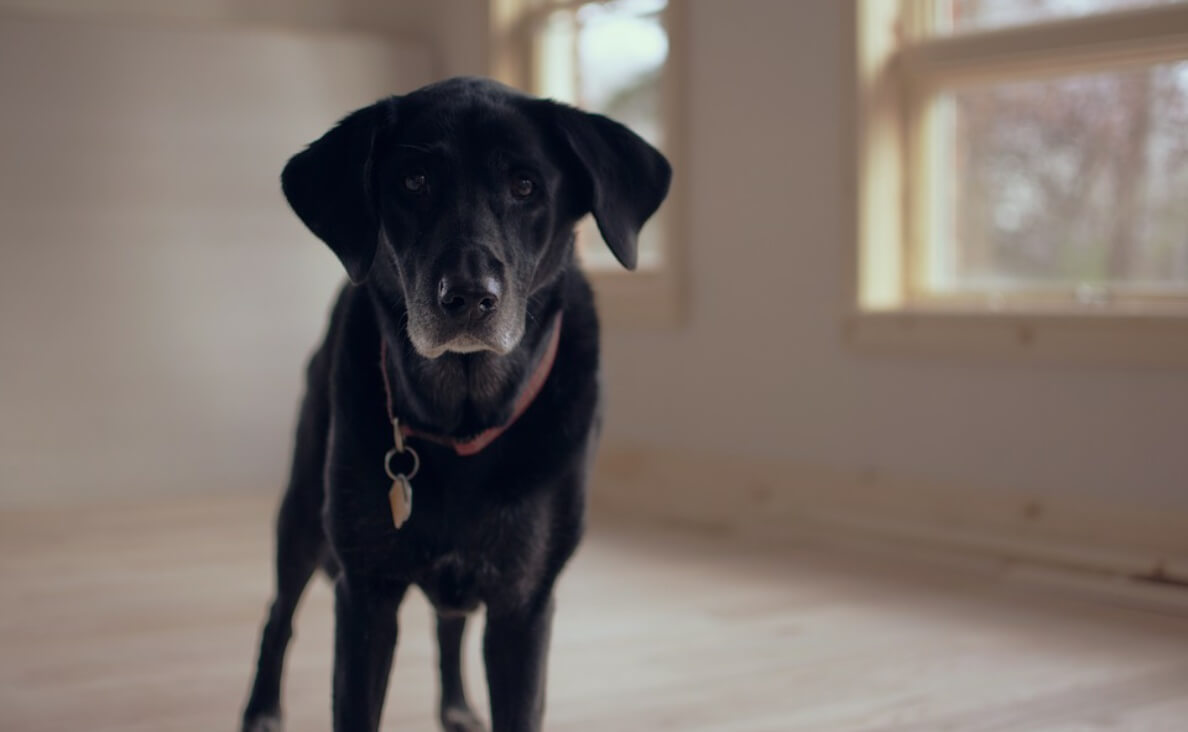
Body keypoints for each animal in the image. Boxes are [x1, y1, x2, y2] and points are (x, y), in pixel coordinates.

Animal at [239, 80, 670, 732]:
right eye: (414, 181)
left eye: (525, 186)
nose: (468, 297)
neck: (464, 419)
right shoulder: (365, 595)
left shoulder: (523, 603)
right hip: (304, 508)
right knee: (278, 613)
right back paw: (263, 707)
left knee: (448, 625)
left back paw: (458, 705)